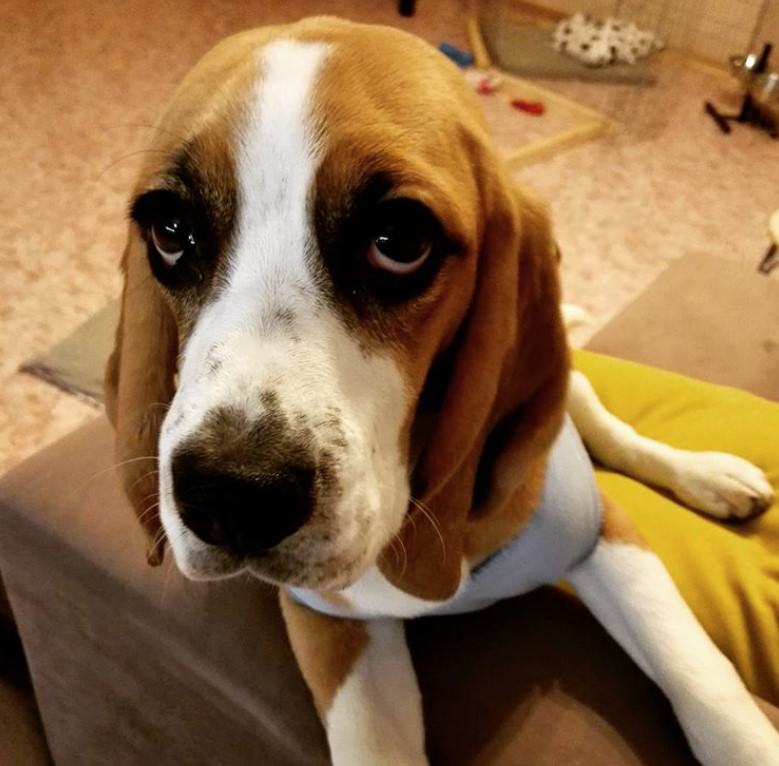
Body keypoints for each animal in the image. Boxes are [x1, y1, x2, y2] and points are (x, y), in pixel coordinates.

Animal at [105, 18, 779, 766]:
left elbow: (703, 681)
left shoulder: (603, 534)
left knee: (601, 419)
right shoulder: (333, 624)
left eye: (399, 239)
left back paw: (708, 477)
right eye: (170, 230)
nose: (234, 496)